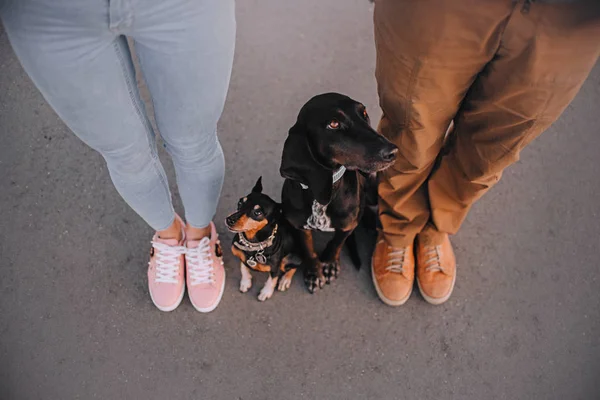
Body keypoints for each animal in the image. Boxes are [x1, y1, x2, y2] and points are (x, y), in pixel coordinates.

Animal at [280, 94, 398, 294]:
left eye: (364, 114)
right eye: (333, 124)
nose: (393, 151)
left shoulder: (348, 226)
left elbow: (336, 244)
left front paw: (329, 264)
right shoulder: (299, 226)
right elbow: (308, 250)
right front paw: (314, 273)